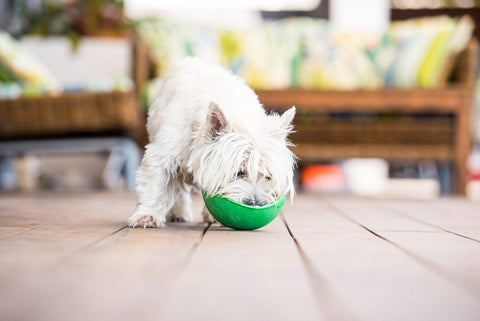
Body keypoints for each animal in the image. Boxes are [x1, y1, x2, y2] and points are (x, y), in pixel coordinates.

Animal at [129, 58, 298, 228]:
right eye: (239, 172)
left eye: (268, 176)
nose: (255, 203)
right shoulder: (164, 154)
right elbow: (156, 185)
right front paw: (147, 215)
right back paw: (179, 213)